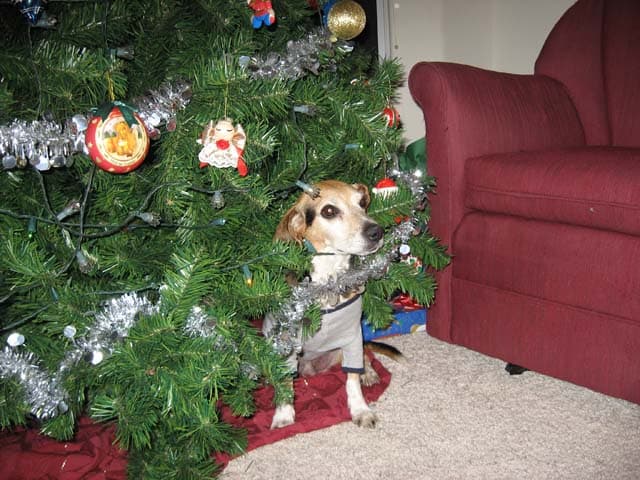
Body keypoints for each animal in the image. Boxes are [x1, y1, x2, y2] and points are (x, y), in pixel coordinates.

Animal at [264, 180, 384, 428]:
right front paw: (283, 414)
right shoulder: (285, 340)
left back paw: (368, 372)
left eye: (361, 203)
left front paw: (360, 409)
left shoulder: (352, 336)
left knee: (365, 356)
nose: (377, 231)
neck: (327, 283)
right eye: (329, 211)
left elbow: (352, 379)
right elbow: (285, 382)